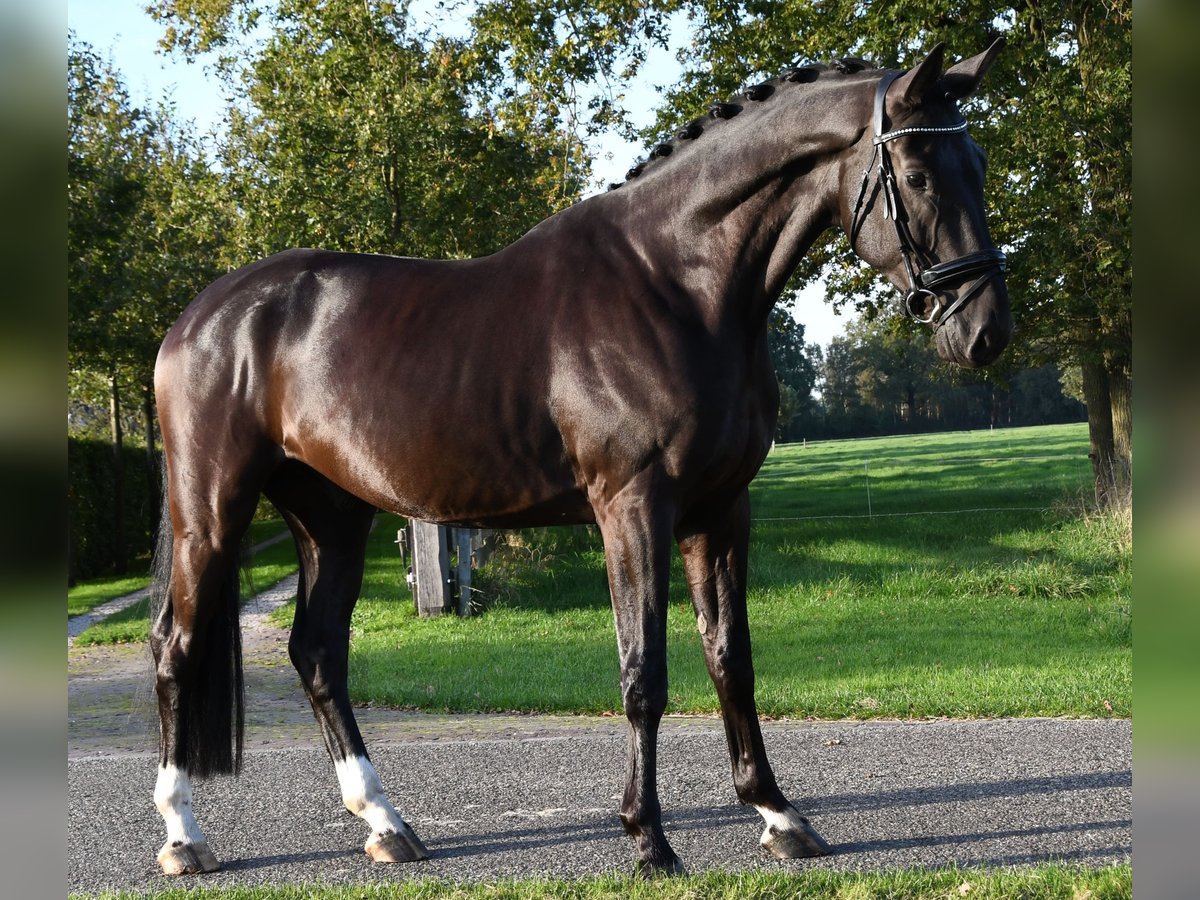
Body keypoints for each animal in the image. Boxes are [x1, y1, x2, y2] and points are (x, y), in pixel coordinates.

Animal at [150, 38, 1012, 878]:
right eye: (919, 174)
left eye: (979, 163)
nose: (984, 333)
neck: (675, 282)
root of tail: (201, 316)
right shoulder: (632, 507)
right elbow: (644, 672)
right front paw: (648, 838)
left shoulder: (721, 509)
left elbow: (730, 658)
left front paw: (778, 816)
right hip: (212, 514)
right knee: (176, 648)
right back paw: (184, 837)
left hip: (332, 516)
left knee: (319, 653)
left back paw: (386, 824)